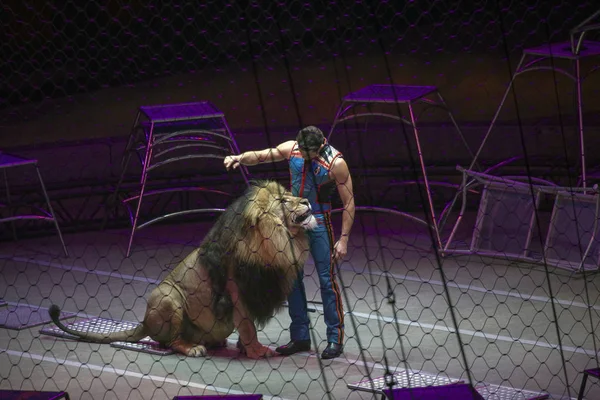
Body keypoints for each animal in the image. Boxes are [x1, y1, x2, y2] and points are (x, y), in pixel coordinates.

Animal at [48, 180, 318, 360]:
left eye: (292, 195)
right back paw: (193, 348)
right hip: (169, 298)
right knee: (172, 342)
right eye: (284, 201)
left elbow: (247, 325)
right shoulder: (237, 292)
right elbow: (248, 327)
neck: (278, 238)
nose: (307, 200)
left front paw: (243, 347)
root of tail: (144, 323)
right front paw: (256, 351)